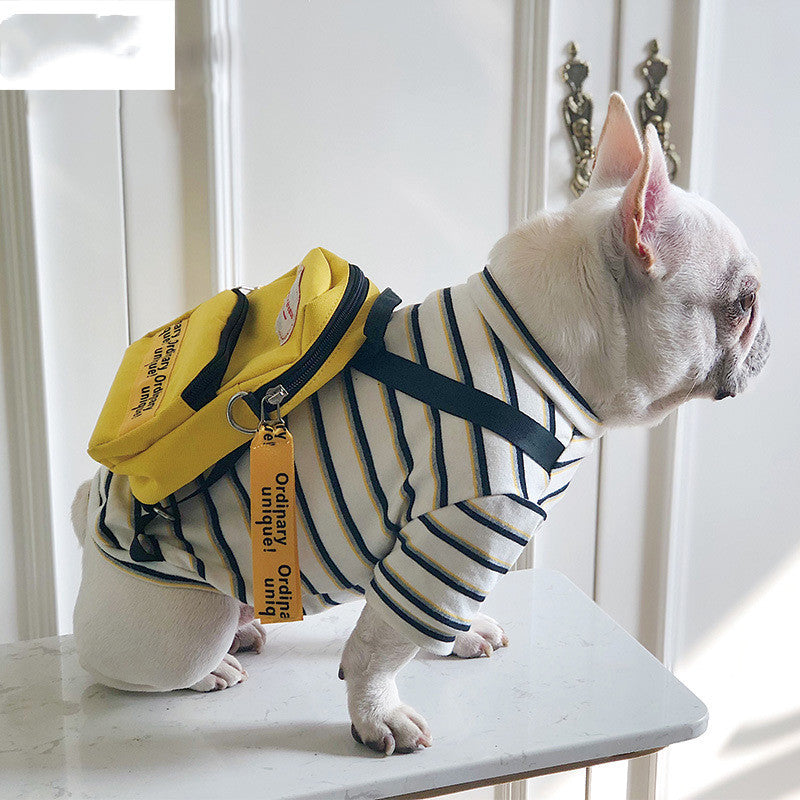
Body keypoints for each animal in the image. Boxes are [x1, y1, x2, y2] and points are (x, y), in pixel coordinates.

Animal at [72, 95, 772, 756]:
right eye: (743, 303)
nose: (770, 332)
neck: (531, 349)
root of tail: (92, 522)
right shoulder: (466, 527)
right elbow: (381, 646)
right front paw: (376, 716)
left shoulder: (431, 551)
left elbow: (421, 614)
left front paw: (457, 641)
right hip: (180, 626)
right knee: (123, 667)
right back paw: (208, 670)